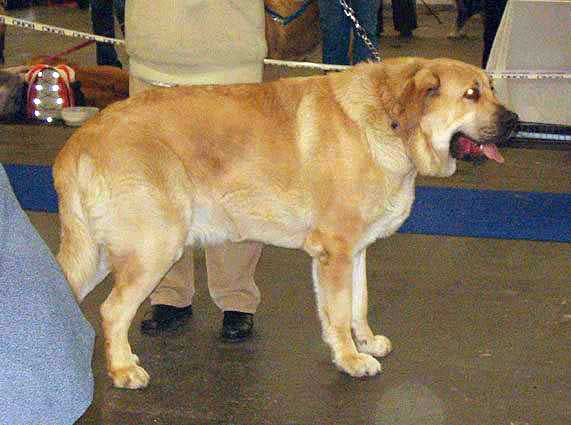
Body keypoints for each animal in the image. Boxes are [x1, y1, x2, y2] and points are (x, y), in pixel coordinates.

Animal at [52, 58, 520, 390]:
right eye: (471, 94)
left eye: (492, 88)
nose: (516, 122)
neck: (391, 121)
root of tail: (79, 140)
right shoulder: (335, 252)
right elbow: (338, 312)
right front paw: (351, 360)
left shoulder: (355, 252)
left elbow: (357, 304)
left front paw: (364, 342)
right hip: (154, 248)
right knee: (112, 311)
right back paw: (123, 369)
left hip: (99, 252)